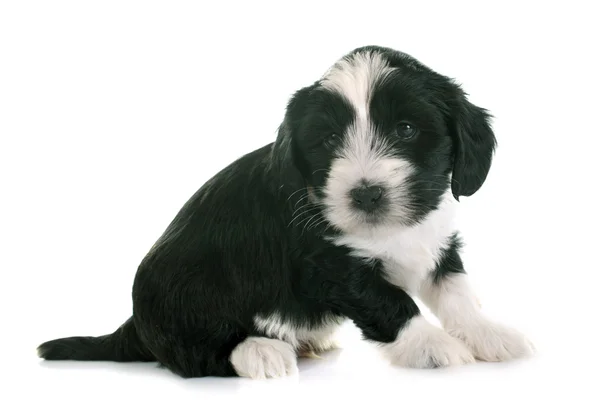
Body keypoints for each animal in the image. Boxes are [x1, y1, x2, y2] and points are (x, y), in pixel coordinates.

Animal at [37, 46, 536, 380]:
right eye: (329, 139)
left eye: (407, 129)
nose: (366, 194)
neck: (384, 230)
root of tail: (137, 325)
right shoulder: (327, 262)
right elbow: (389, 301)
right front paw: (430, 345)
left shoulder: (434, 239)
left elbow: (458, 292)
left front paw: (490, 334)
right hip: (190, 287)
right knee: (194, 354)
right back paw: (261, 351)